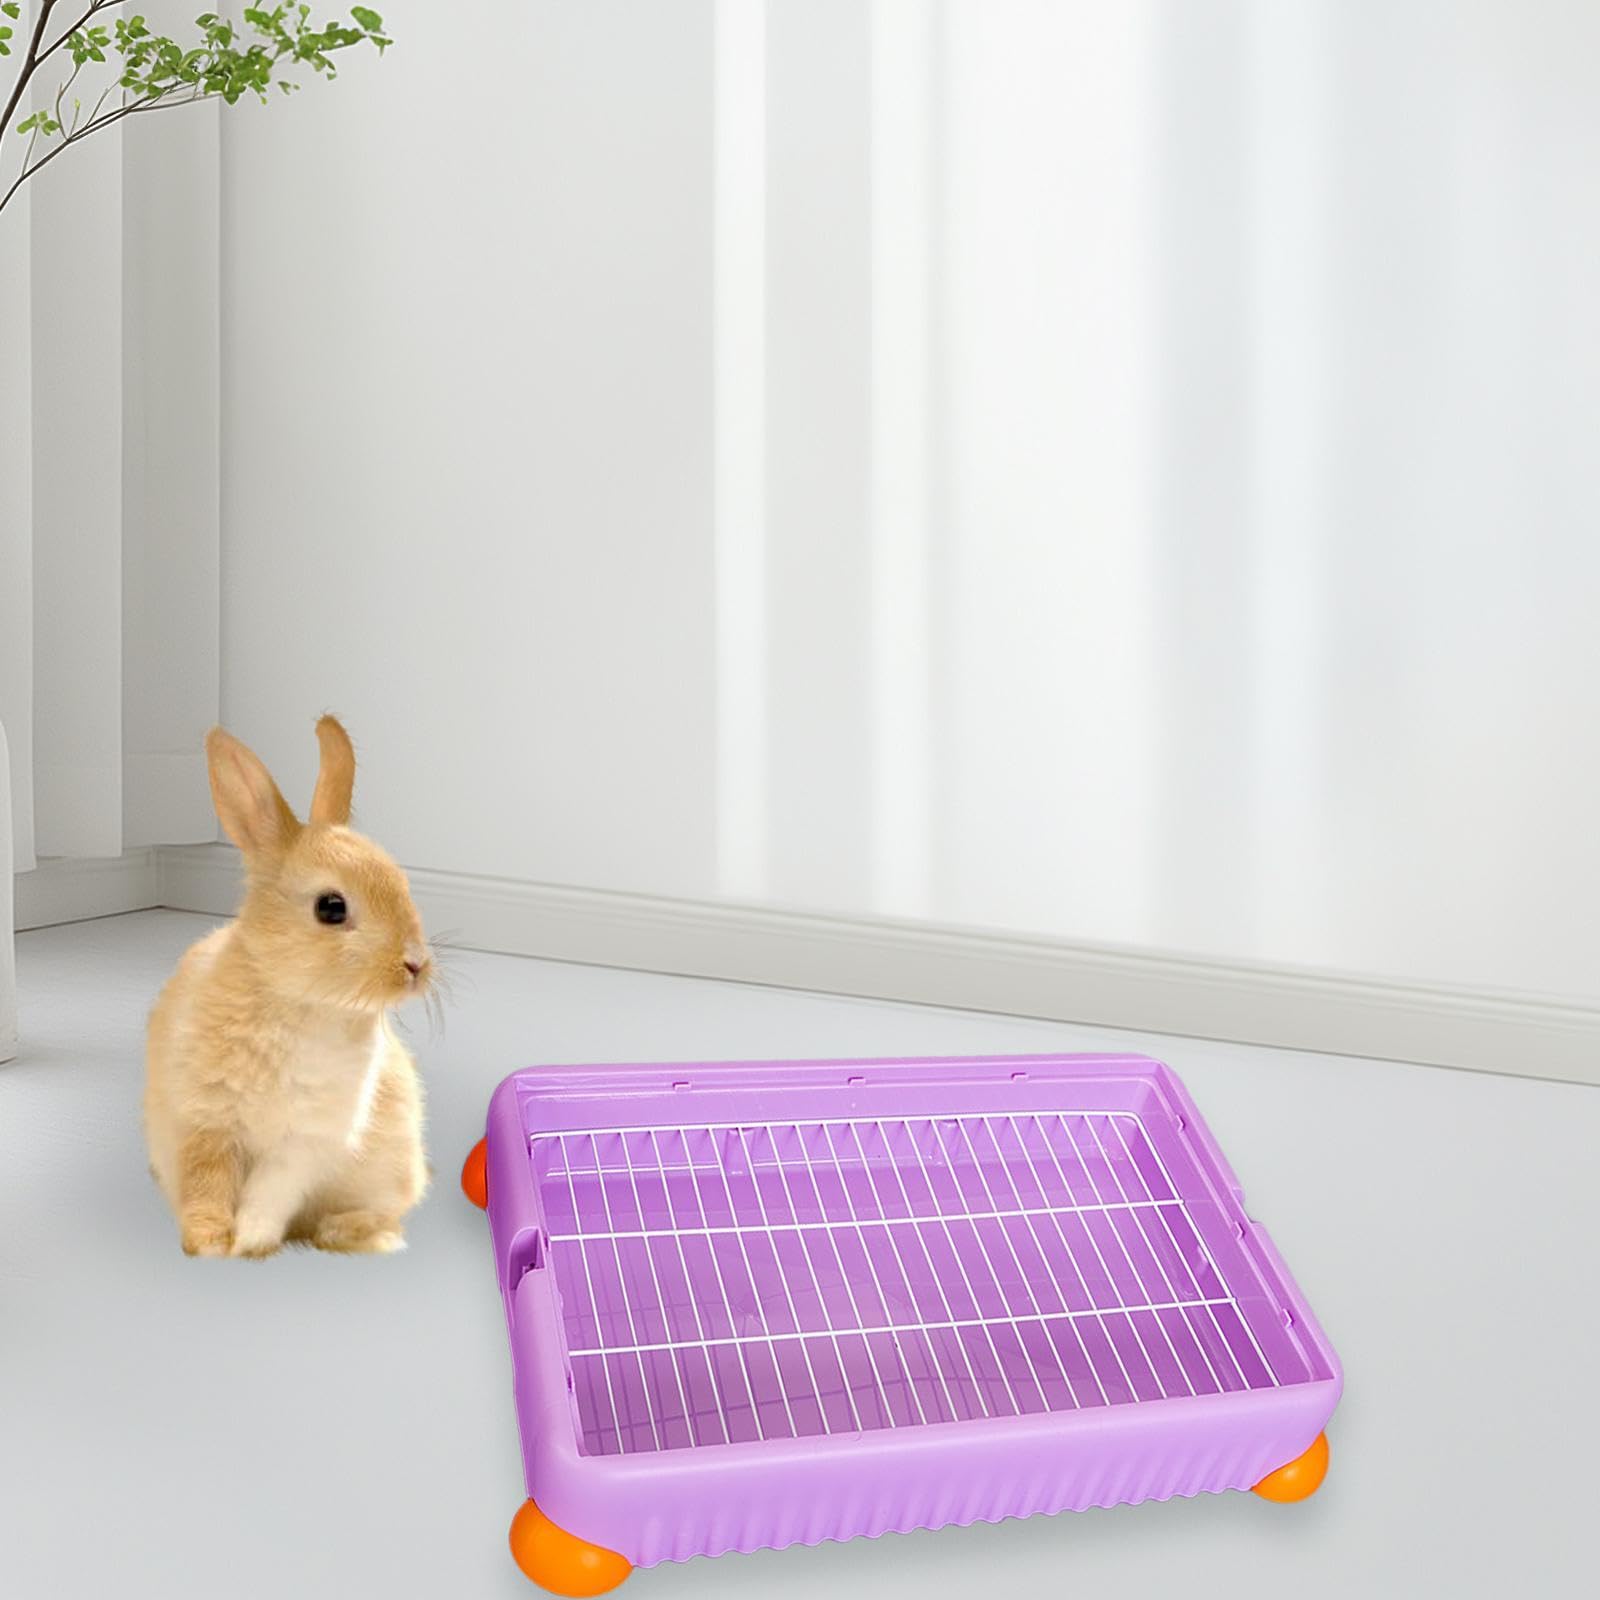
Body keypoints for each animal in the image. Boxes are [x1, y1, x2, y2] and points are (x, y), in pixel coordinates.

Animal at [144, 716, 434, 1258]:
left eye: (402, 883)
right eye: (331, 907)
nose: (415, 965)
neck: (297, 1003)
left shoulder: (304, 1144)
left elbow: (269, 1193)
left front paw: (248, 1243)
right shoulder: (207, 1123)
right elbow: (206, 1185)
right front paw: (210, 1243)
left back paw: (355, 1234)